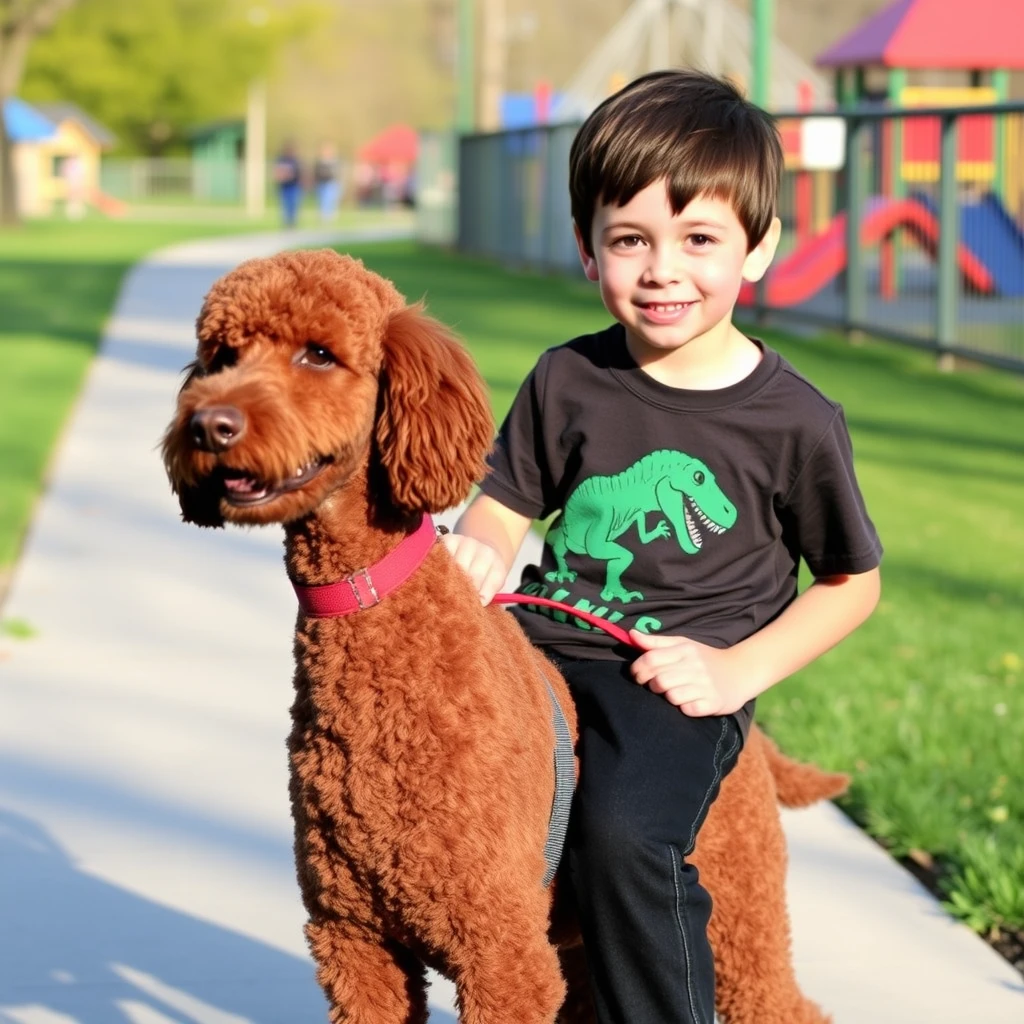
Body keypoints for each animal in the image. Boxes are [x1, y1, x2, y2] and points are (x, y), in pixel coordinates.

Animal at [161, 249, 847, 1024]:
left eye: (319, 354)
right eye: (221, 356)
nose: (207, 425)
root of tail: (750, 737)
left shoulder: (503, 956)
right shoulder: (354, 945)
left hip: (736, 909)